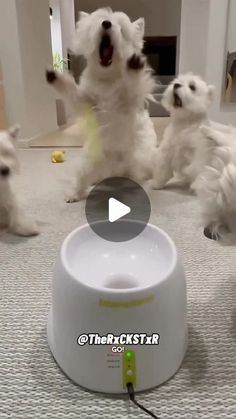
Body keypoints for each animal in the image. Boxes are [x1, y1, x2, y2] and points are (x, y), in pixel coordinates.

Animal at [46, 6, 158, 203]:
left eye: (121, 28)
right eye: (99, 21)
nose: (106, 23)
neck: (107, 78)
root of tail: (115, 169)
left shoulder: (129, 101)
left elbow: (132, 85)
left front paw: (134, 66)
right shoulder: (84, 100)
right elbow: (71, 90)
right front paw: (55, 76)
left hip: (138, 160)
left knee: (137, 176)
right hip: (89, 161)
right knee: (83, 178)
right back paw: (74, 193)